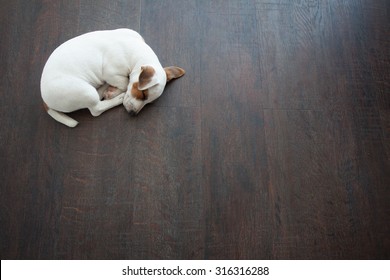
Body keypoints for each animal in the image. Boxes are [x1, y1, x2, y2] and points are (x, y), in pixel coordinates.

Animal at [40, 28, 185, 127]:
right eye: (143, 95)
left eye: (149, 102)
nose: (132, 114)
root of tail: (45, 101)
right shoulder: (111, 73)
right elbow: (125, 82)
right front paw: (116, 91)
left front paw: (112, 90)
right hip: (84, 91)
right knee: (96, 109)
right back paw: (117, 97)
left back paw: (104, 88)